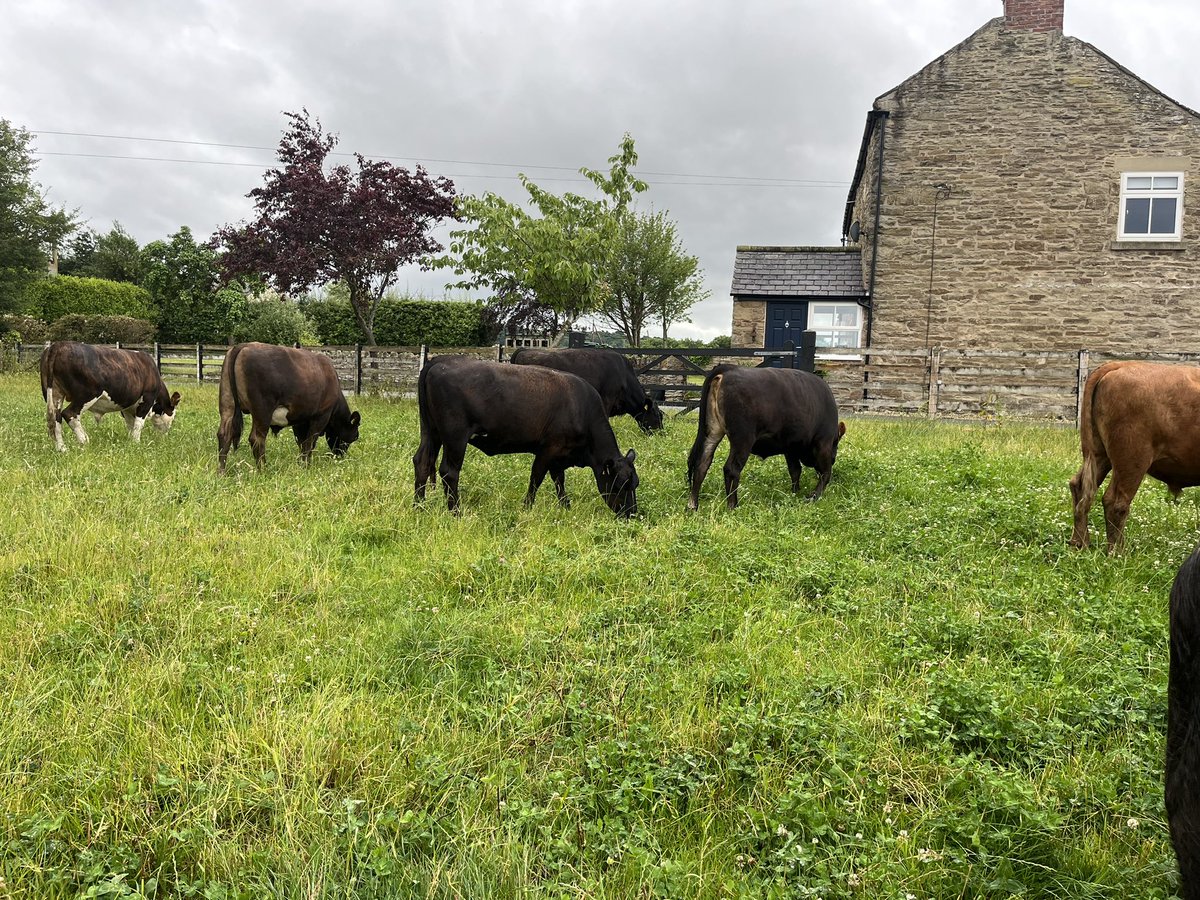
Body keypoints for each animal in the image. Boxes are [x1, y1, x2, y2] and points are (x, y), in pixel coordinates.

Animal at [40, 341, 181, 452]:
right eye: (173, 416)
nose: (164, 437)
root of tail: (58, 345)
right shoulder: (146, 401)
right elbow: (138, 425)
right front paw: (136, 444)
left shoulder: (127, 408)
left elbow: (131, 425)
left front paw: (131, 443)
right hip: (86, 395)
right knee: (69, 413)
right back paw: (84, 441)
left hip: (54, 394)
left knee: (56, 417)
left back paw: (62, 448)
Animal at [217, 342, 361, 474]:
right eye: (354, 437)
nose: (340, 456)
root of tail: (243, 345)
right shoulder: (321, 416)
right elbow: (309, 442)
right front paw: (306, 466)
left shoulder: (300, 420)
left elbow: (302, 443)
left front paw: (301, 463)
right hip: (262, 411)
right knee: (257, 439)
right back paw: (263, 470)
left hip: (228, 404)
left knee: (224, 434)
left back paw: (222, 472)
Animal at [413, 355, 639, 517]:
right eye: (620, 485)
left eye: (635, 484)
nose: (632, 514)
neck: (581, 408)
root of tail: (439, 361)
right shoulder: (549, 449)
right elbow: (537, 478)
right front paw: (527, 507)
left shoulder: (559, 455)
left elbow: (559, 481)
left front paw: (565, 507)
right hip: (455, 437)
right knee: (449, 472)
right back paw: (456, 513)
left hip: (431, 432)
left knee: (422, 461)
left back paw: (419, 507)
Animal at [687, 364, 845, 510]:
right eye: (836, 444)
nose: (833, 458)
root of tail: (729, 369)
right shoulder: (823, 441)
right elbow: (825, 473)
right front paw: (814, 496)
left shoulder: (790, 448)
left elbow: (795, 470)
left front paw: (795, 493)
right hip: (743, 438)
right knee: (731, 469)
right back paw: (733, 505)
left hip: (712, 431)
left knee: (702, 463)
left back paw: (693, 505)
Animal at [1069, 360, 1200, 552]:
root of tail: (1119, 365)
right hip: (1132, 460)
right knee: (1115, 503)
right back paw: (1118, 552)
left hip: (1099, 455)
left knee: (1080, 488)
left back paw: (1080, 543)